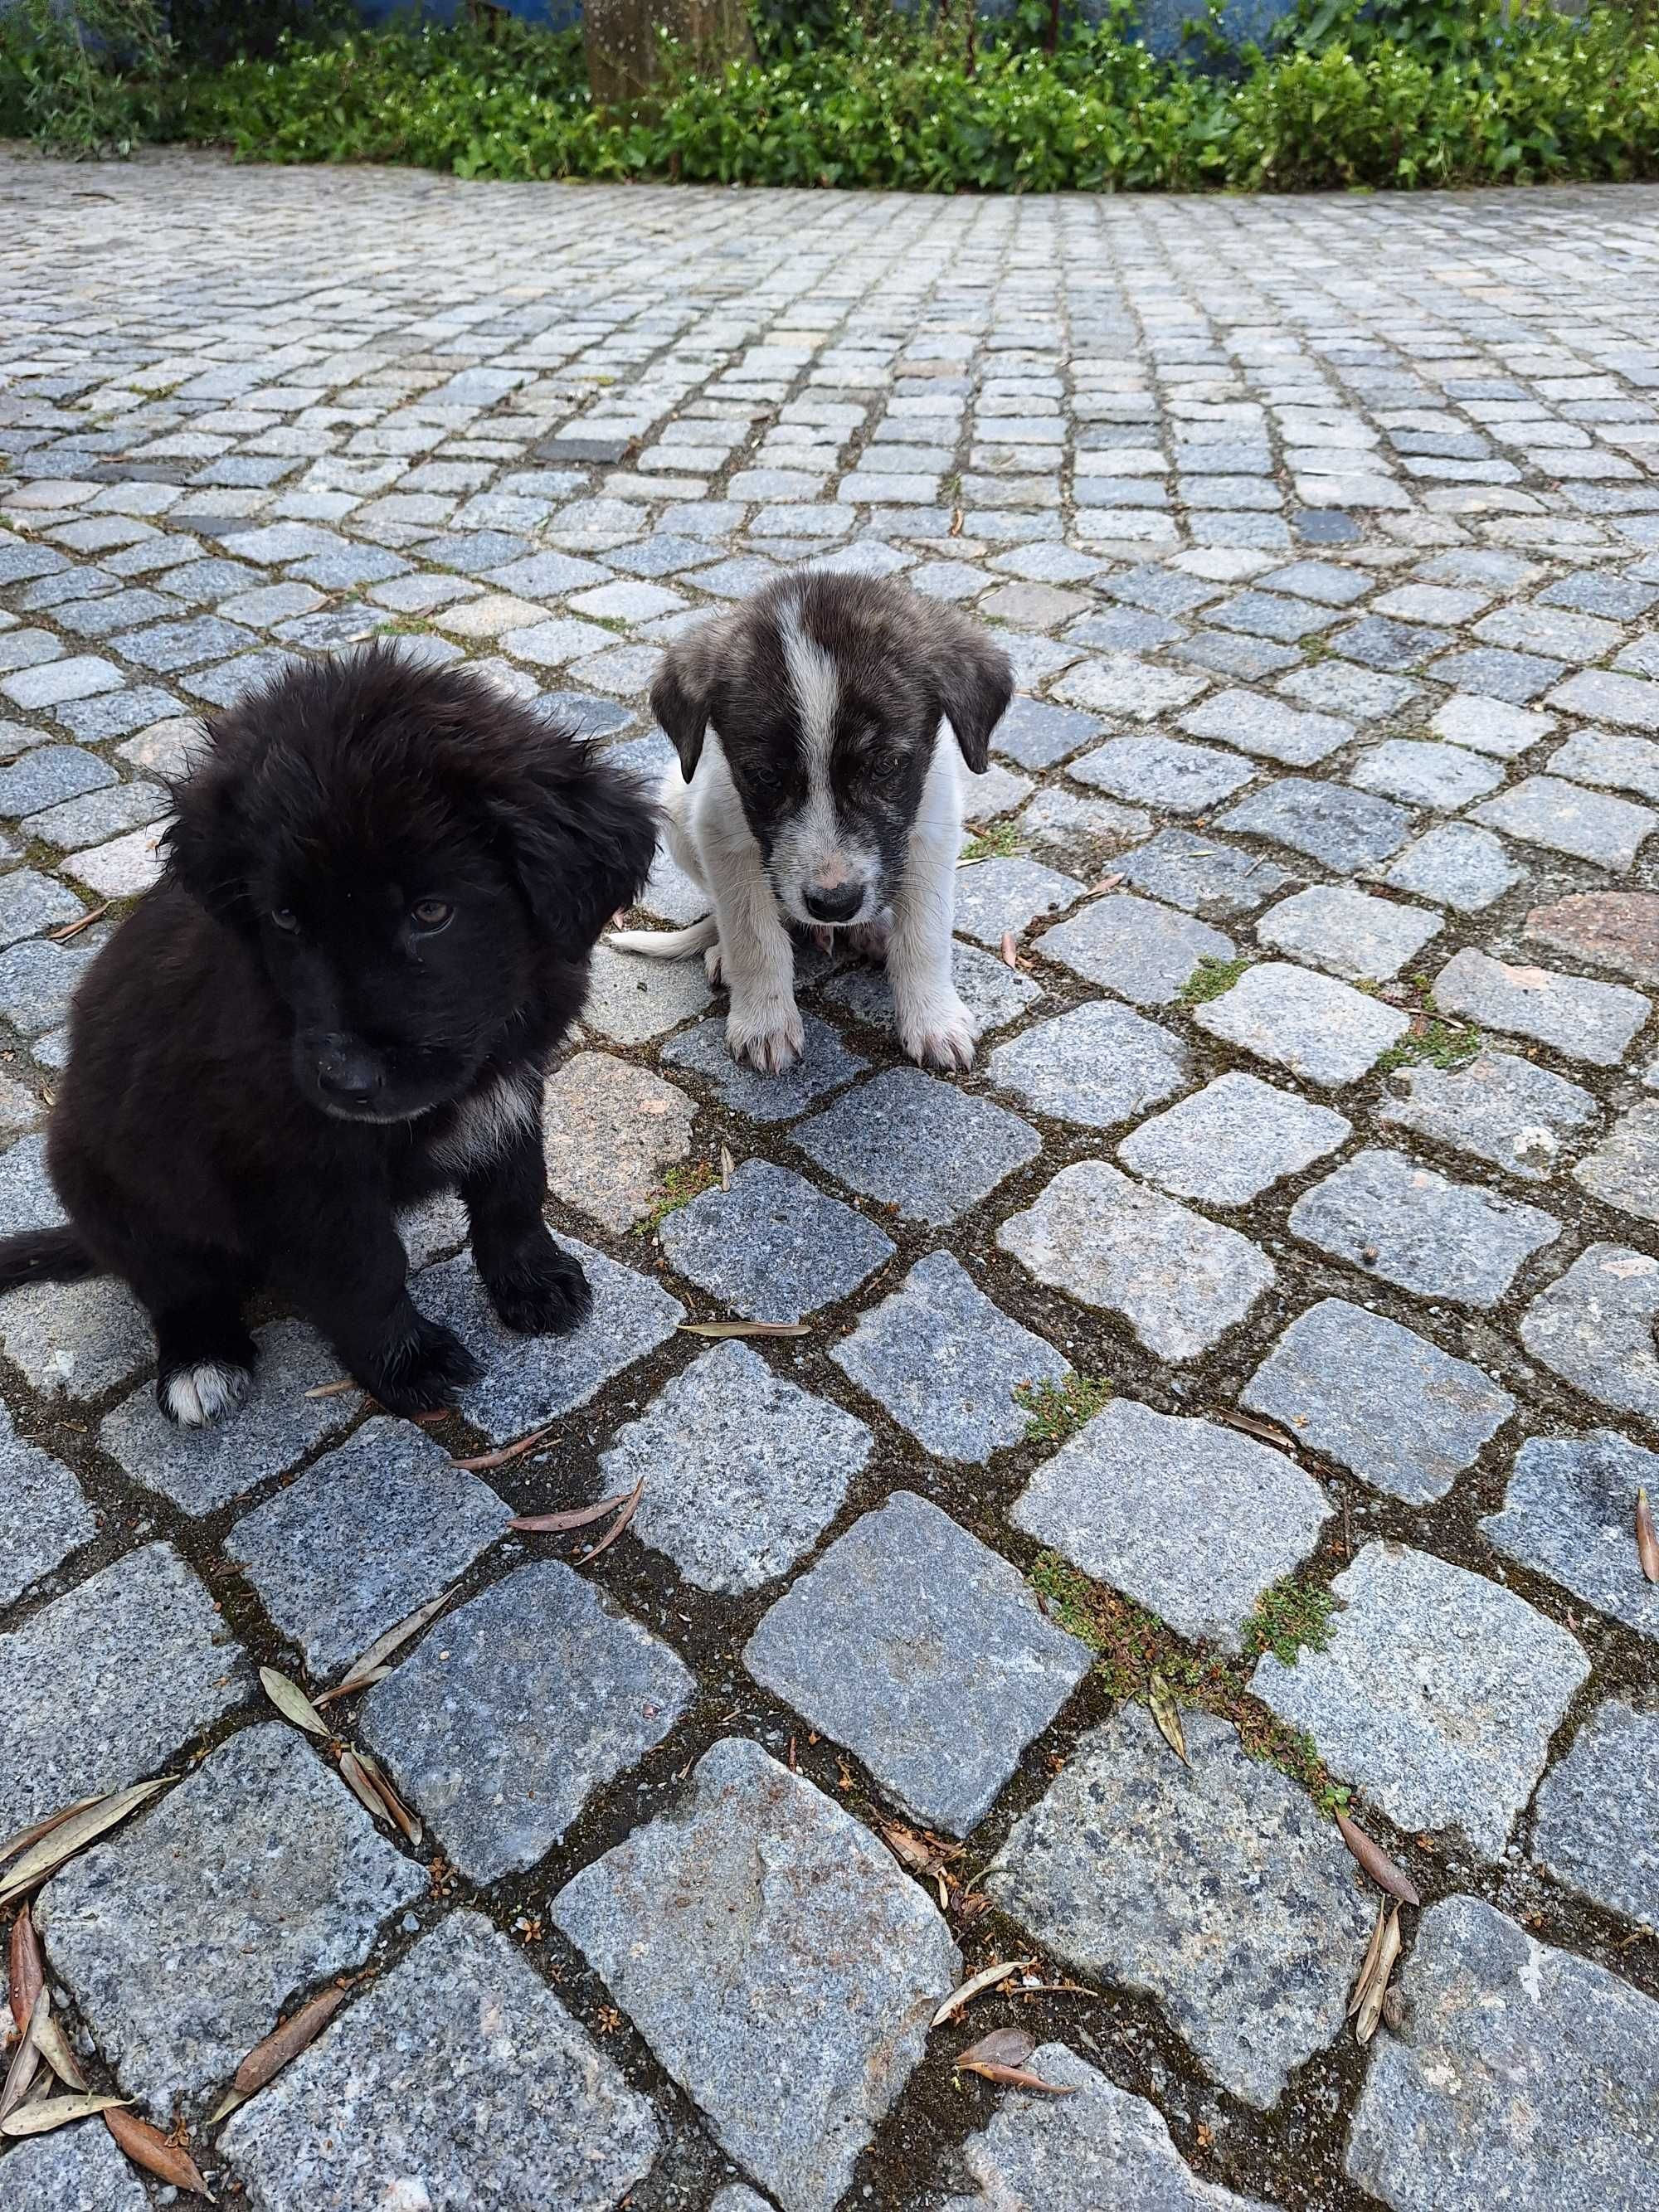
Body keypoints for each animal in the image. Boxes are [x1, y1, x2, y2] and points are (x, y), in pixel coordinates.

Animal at [0, 645, 654, 1424]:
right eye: (284, 918)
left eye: (431, 911)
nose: (347, 1081)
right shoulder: (297, 1170)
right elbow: (364, 1270)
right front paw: (404, 1361)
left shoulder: (512, 1088)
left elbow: (515, 1189)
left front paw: (532, 1279)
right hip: (106, 1185)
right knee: (174, 1282)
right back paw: (200, 1357)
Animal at [611, 571, 1013, 1070]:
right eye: (765, 776)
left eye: (885, 766)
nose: (835, 904)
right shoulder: (722, 835)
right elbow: (754, 936)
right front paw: (764, 1022)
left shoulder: (931, 830)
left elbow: (925, 935)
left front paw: (933, 1020)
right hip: (677, 806)